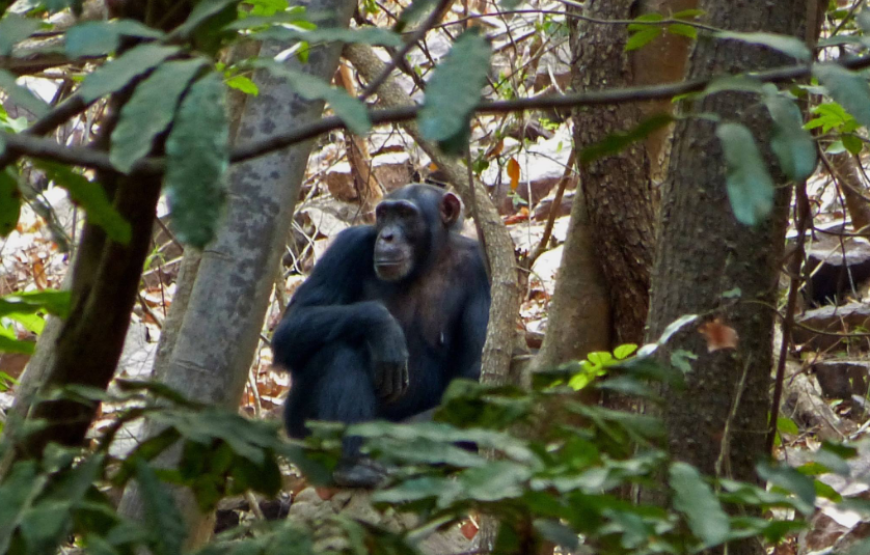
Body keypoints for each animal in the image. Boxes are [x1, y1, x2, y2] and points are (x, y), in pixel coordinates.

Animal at [272, 184, 490, 486]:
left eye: (406, 214)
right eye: (384, 214)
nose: (387, 236)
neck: (424, 263)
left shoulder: (481, 269)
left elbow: (474, 368)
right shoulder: (348, 246)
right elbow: (291, 327)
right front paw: (383, 326)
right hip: (299, 428)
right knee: (339, 348)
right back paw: (352, 466)